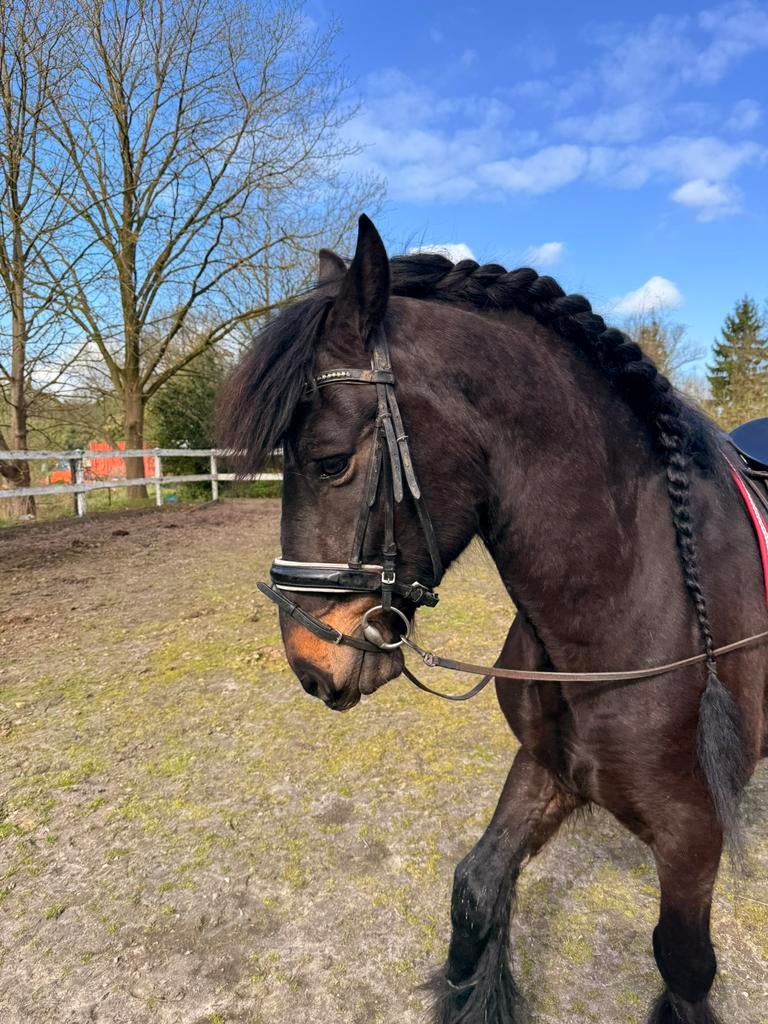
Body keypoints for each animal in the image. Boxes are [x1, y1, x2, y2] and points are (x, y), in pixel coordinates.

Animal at [219, 215, 768, 1024]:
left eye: (328, 461)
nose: (309, 663)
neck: (632, 599)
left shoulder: (692, 830)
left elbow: (684, 966)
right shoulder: (549, 769)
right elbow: (476, 891)